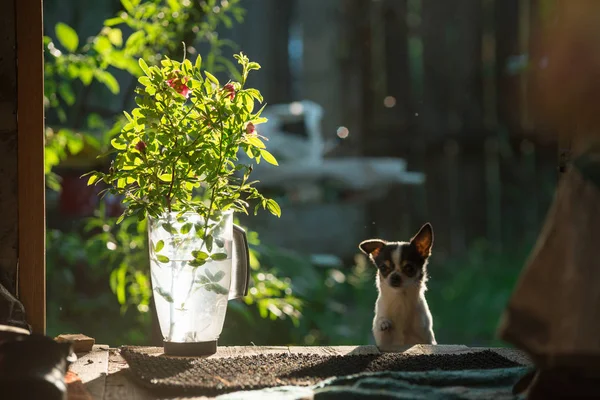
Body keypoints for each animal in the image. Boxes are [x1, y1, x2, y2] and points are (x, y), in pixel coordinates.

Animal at [356, 223, 436, 352]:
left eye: (409, 268)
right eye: (383, 268)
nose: (395, 276)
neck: (400, 298)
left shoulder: (426, 338)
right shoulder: (382, 341)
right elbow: (380, 323)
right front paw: (384, 323)